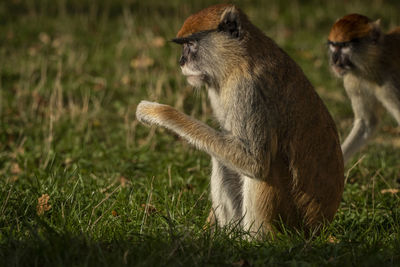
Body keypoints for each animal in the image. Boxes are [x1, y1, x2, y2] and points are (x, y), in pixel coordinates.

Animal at [137, 4, 344, 238]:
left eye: (190, 45)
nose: (181, 62)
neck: (237, 59)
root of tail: (319, 226)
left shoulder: (248, 89)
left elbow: (254, 162)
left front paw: (158, 112)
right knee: (222, 160)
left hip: (292, 222)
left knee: (265, 167)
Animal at [328, 14, 400, 164]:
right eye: (333, 45)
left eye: (345, 46)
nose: (334, 60)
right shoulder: (353, 83)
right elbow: (367, 123)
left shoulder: (390, 83)